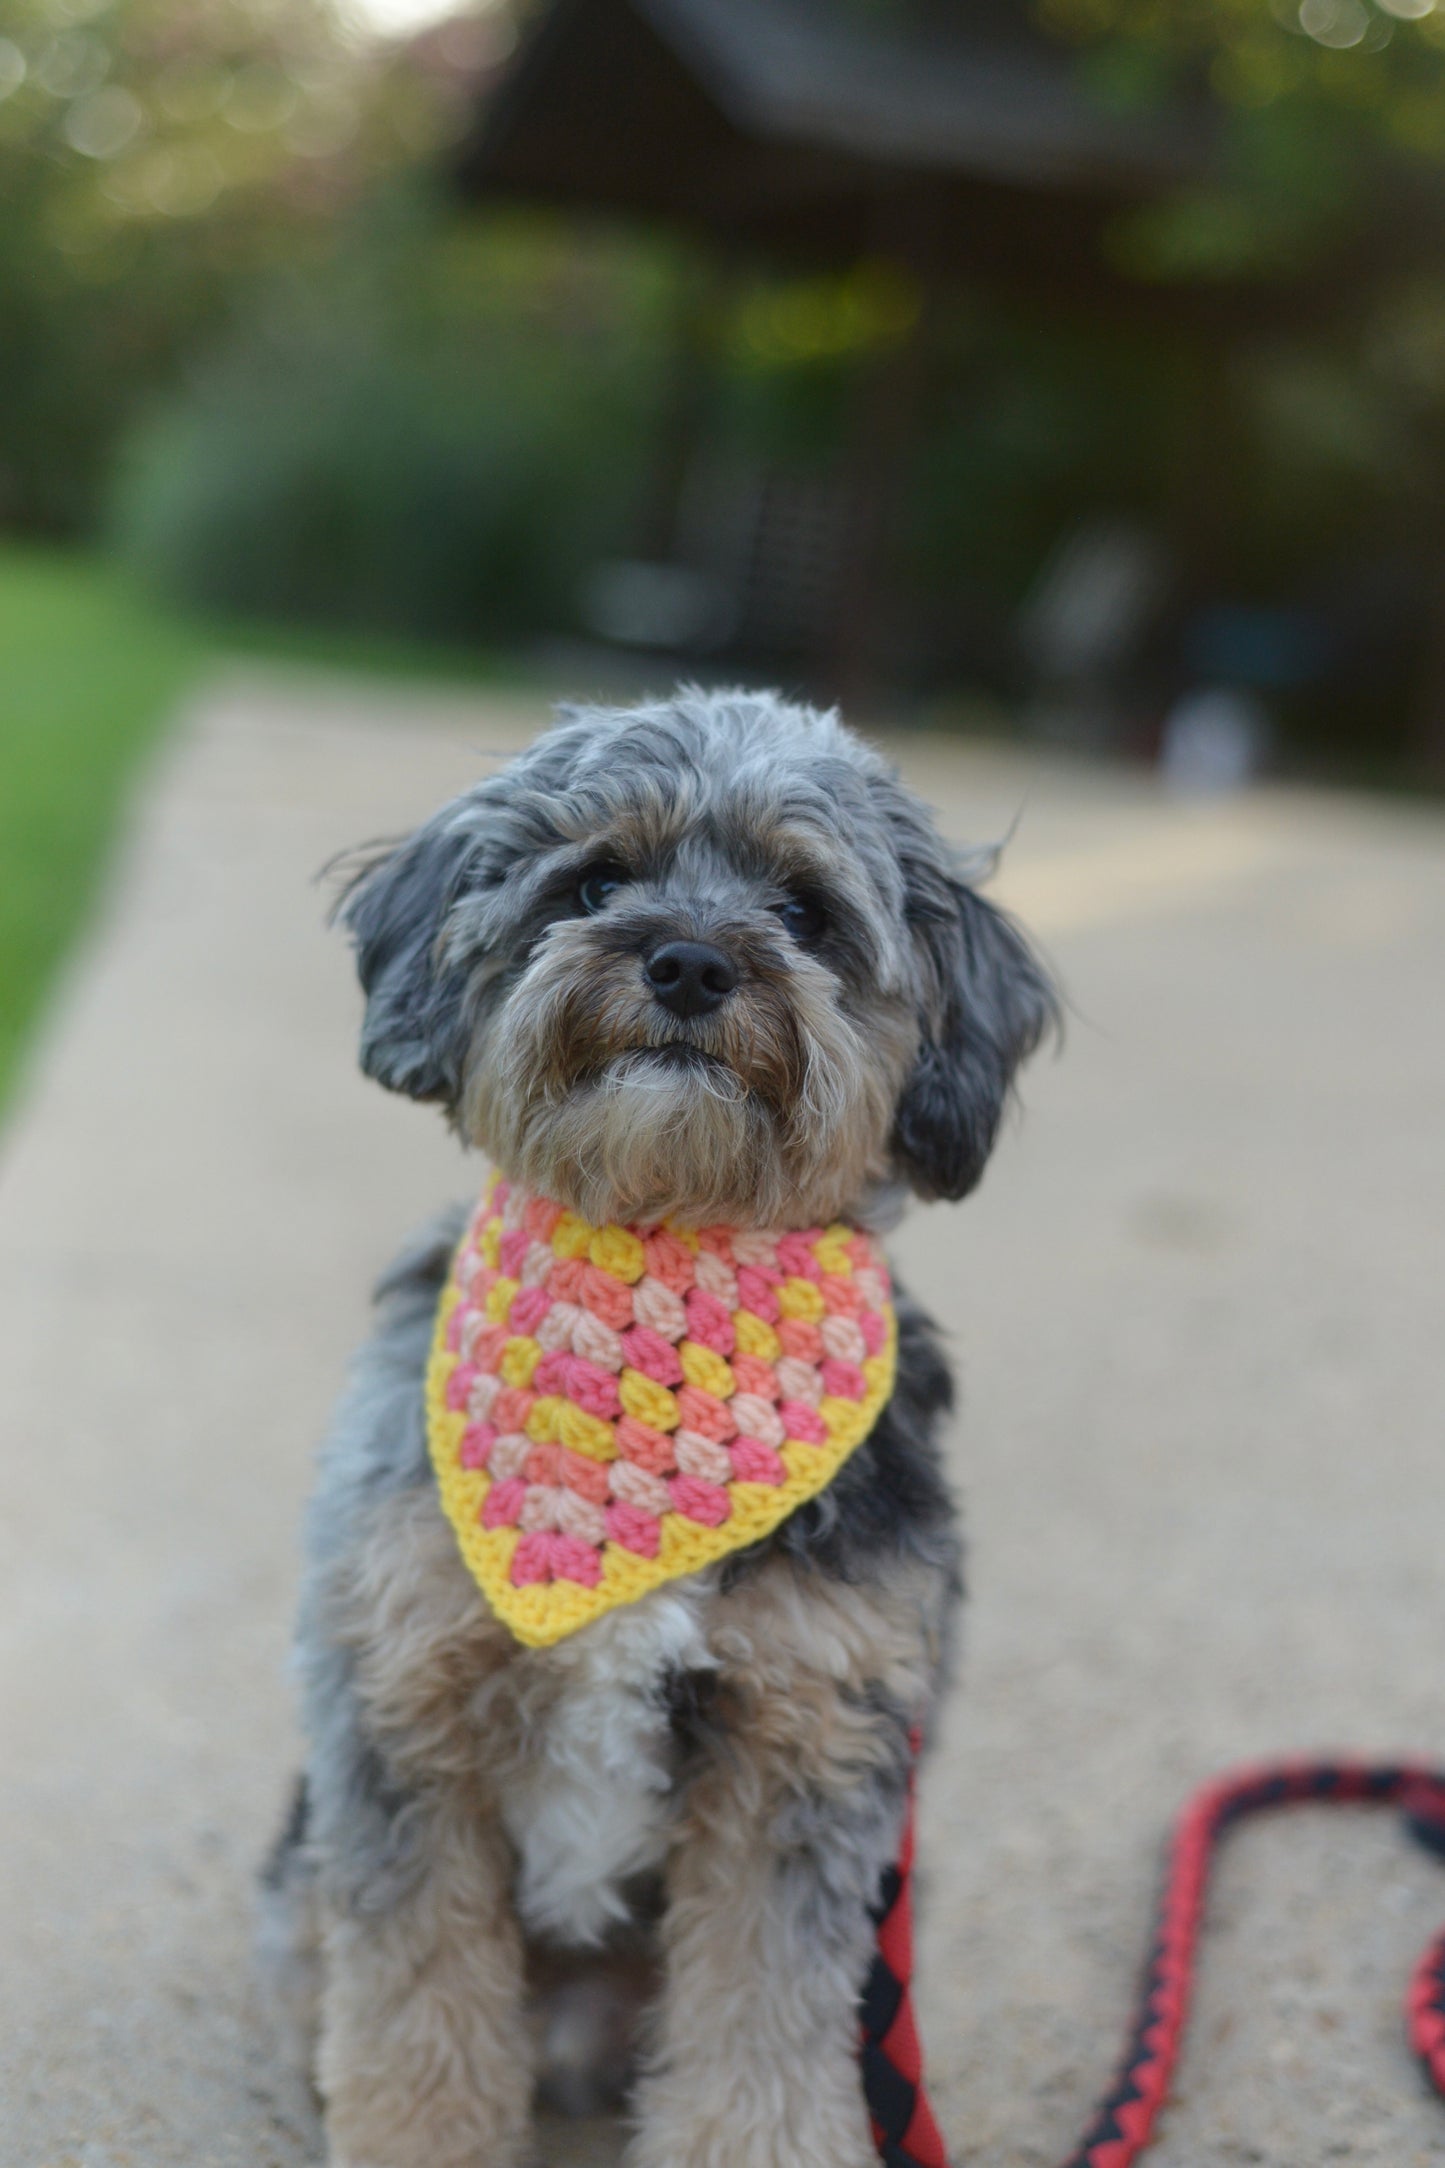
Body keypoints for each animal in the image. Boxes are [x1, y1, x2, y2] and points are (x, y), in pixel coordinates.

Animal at [263, 689, 1052, 2168]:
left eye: (803, 910)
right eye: (595, 881)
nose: (687, 961)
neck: (659, 1244)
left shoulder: (806, 1750)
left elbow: (760, 2046)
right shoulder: (401, 1711)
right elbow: (417, 2024)